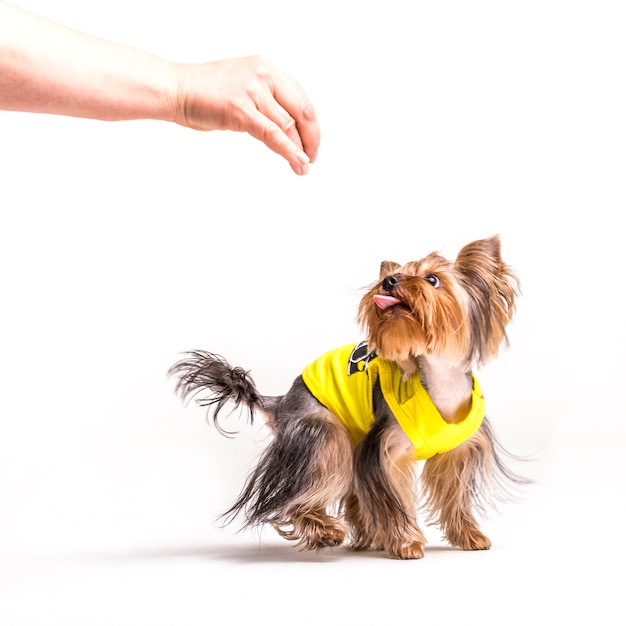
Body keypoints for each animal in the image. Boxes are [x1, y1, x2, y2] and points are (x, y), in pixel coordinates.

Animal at [169, 234, 520, 556]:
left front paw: (469, 536)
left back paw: (362, 537)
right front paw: (406, 542)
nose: (389, 281)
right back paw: (325, 531)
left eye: (433, 279)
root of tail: (283, 400)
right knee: (301, 492)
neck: (437, 376)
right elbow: (393, 497)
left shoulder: (457, 452)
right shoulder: (386, 448)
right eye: (392, 275)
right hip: (321, 432)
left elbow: (454, 494)